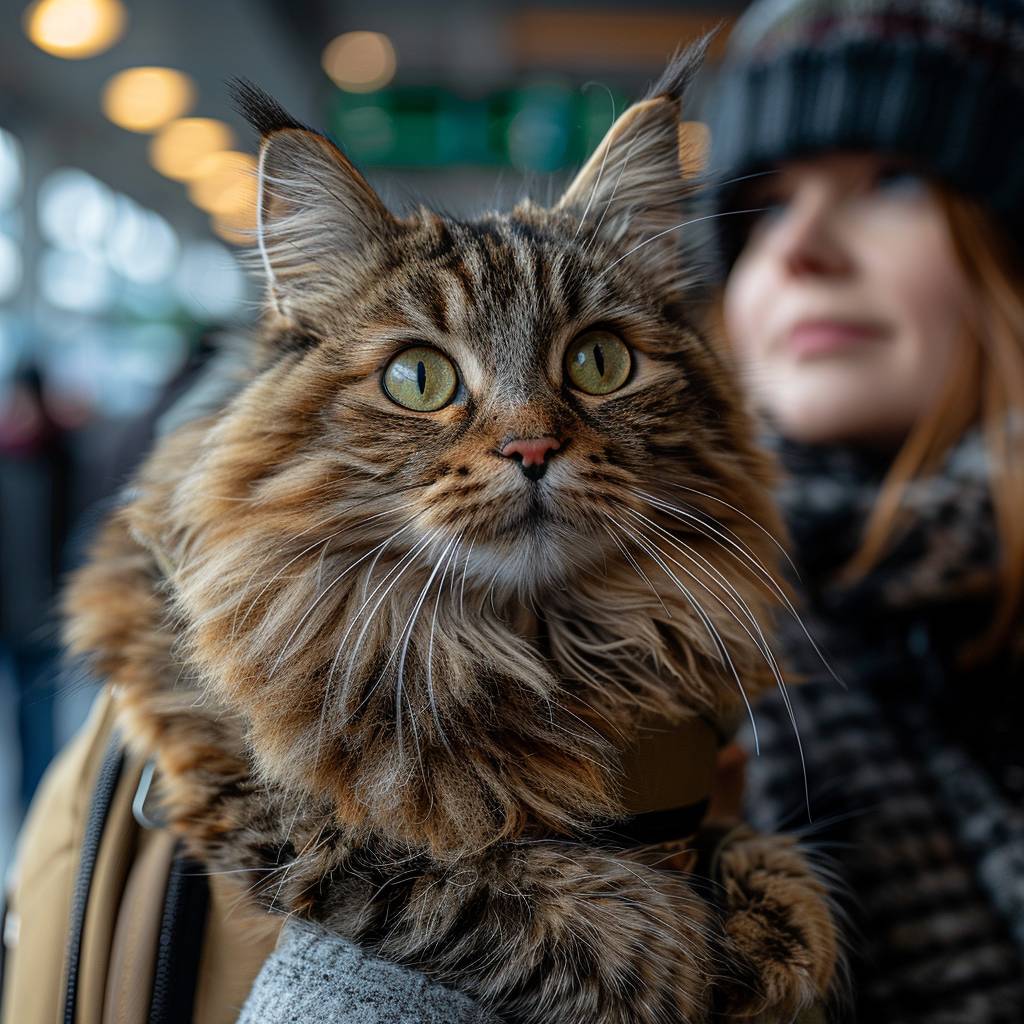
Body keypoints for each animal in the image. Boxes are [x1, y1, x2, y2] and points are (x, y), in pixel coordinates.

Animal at [68, 41, 839, 1024]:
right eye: (420, 379)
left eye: (599, 362)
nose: (532, 446)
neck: (522, 644)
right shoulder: (228, 765)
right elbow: (438, 859)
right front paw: (655, 944)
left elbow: (756, 853)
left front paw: (776, 929)